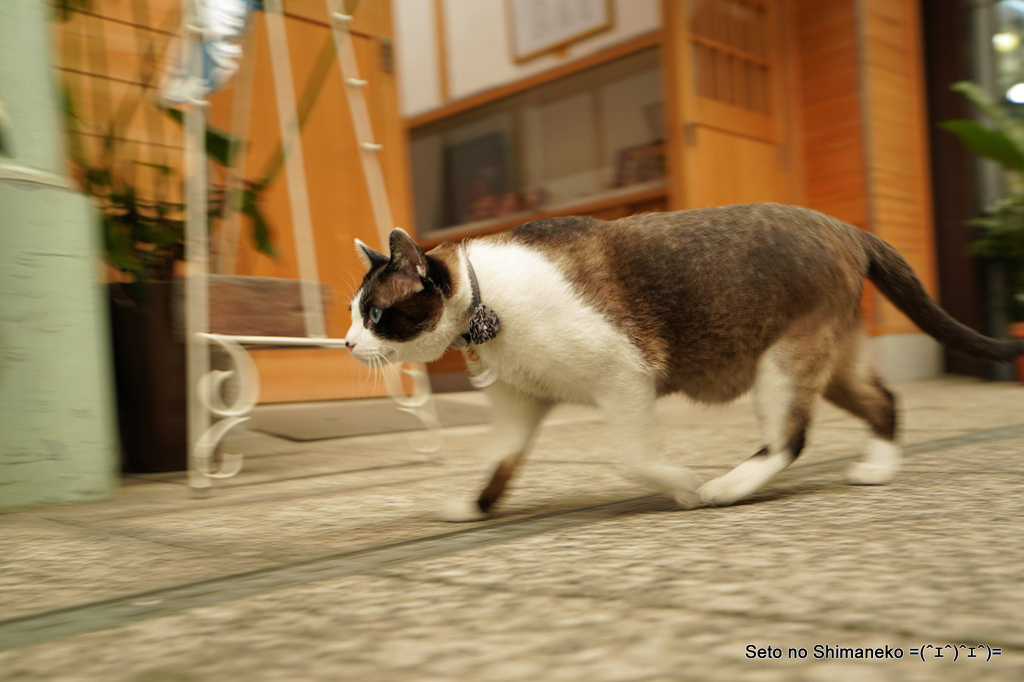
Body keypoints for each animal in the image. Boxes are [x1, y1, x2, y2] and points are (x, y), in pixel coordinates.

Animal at [346, 201, 1024, 520]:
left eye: (374, 315)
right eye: (354, 314)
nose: (348, 343)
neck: (483, 308)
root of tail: (845, 227)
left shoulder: (624, 377)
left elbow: (635, 458)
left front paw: (685, 488)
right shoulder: (520, 404)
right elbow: (498, 466)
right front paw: (472, 508)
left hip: (784, 362)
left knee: (790, 437)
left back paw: (726, 488)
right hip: (832, 362)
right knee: (884, 400)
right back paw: (878, 468)